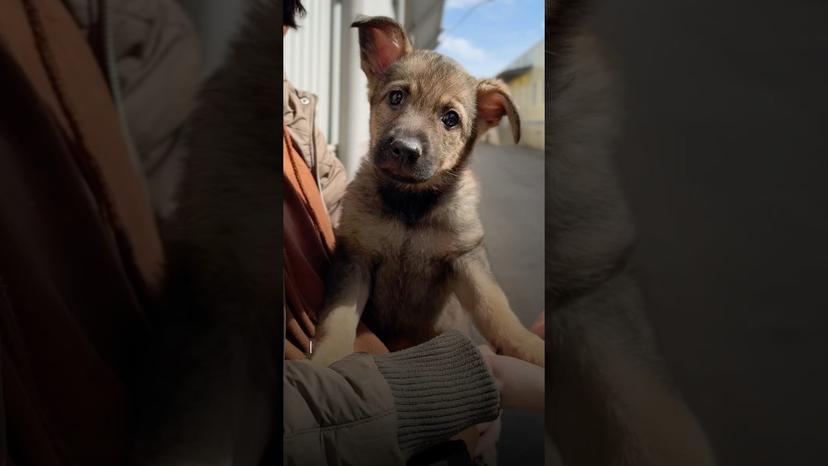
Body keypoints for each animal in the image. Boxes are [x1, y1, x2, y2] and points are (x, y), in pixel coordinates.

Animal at [308, 17, 544, 368]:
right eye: (396, 97)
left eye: (450, 119)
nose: (405, 150)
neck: (411, 204)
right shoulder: (356, 256)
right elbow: (338, 315)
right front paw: (327, 358)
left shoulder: (466, 257)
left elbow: (495, 307)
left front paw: (529, 346)